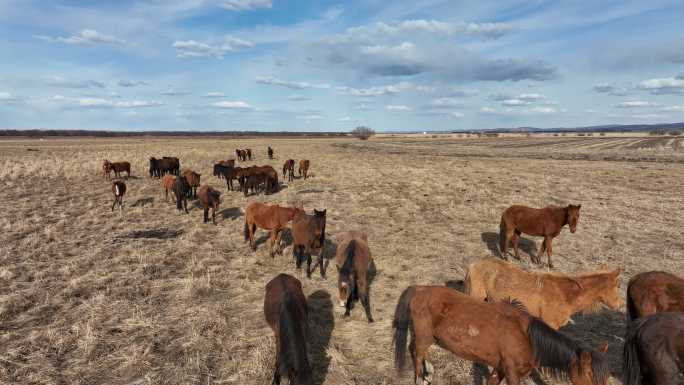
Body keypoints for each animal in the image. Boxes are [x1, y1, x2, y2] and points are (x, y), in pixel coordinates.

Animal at [392, 284, 612, 385]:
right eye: (591, 376)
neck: (527, 338)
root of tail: (419, 289)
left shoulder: (500, 369)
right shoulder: (512, 374)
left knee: (417, 352)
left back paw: (428, 373)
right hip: (423, 336)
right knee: (416, 354)